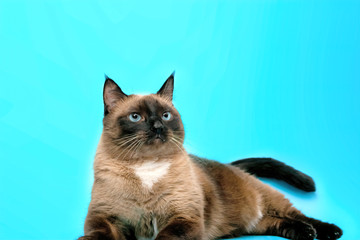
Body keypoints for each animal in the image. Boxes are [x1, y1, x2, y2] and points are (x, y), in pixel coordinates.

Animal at [77, 73, 342, 240]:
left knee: (299, 215)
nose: (158, 127)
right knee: (276, 223)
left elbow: (165, 236)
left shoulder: (183, 220)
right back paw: (304, 233)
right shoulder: (106, 219)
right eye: (136, 117)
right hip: (255, 223)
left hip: (270, 200)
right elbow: (96, 235)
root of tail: (229, 165)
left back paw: (326, 231)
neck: (146, 168)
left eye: (165, 115)